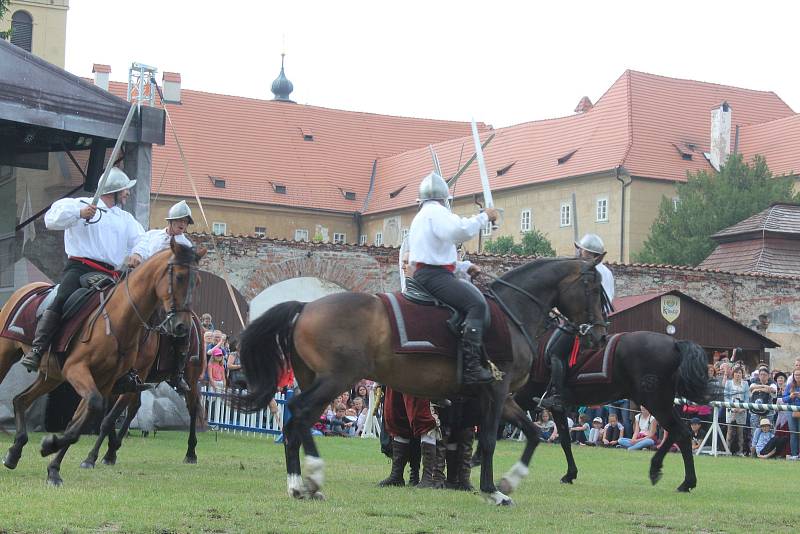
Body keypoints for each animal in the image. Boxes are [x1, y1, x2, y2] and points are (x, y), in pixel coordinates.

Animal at [79, 316, 205, 472]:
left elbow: (109, 419)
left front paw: (91, 458)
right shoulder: (119, 385)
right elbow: (111, 417)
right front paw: (110, 452)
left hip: (191, 380)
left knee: (193, 410)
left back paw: (191, 453)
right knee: (134, 408)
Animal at [238, 258, 608, 506]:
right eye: (592, 287)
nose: (601, 335)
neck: (512, 312)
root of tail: (305, 307)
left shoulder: (503, 398)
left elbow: (532, 433)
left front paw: (509, 481)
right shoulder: (496, 391)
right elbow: (489, 440)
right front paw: (493, 491)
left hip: (317, 381)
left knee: (296, 422)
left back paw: (299, 483)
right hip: (336, 381)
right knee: (300, 414)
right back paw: (310, 477)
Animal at [510, 332, 708, 496]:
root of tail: (674, 344)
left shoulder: (525, 397)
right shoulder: (555, 407)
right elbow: (565, 440)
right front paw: (570, 474)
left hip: (656, 402)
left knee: (678, 432)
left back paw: (671, 475)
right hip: (662, 403)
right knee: (681, 433)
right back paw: (679, 479)